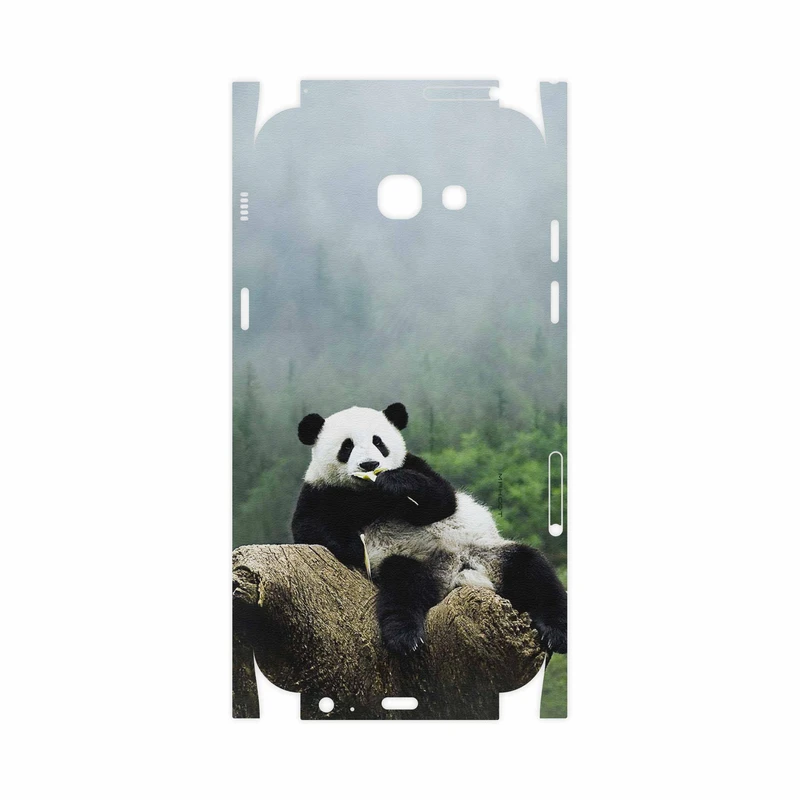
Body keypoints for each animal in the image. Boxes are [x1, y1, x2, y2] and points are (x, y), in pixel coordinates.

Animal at [292, 403, 567, 656]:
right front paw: (354, 547)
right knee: (403, 587)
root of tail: (458, 572)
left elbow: (442, 500)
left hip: (490, 553)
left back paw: (556, 633)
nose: (370, 464)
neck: (368, 494)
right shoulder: (321, 491)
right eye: (346, 446)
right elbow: (309, 528)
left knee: (533, 570)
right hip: (414, 562)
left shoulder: (415, 465)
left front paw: (395, 483)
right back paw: (405, 637)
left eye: (378, 442)